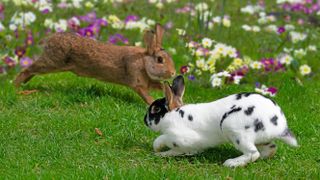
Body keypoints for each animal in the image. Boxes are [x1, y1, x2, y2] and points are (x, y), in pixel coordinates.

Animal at [14, 24, 175, 105]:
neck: (143, 61)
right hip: (52, 62)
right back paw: (16, 86)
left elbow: (158, 86)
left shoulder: (148, 81)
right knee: (28, 69)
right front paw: (152, 103)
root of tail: (50, 40)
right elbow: (145, 96)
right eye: (160, 60)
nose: (173, 73)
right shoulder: (137, 83)